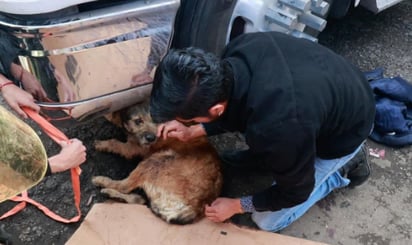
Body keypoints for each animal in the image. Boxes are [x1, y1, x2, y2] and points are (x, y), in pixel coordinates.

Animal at [92, 99, 224, 224]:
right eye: (138, 121)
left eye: (155, 121)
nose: (152, 138)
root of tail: (195, 207)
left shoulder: (134, 148)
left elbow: (115, 143)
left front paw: (101, 144)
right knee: (140, 199)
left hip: (156, 160)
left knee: (124, 186)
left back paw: (101, 181)